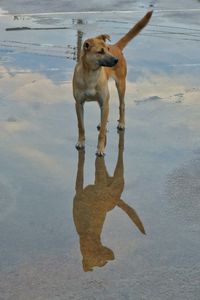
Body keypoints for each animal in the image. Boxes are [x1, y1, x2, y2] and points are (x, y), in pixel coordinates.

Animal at [73, 10, 153, 156]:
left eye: (107, 49)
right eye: (100, 51)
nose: (115, 60)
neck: (91, 74)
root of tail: (116, 46)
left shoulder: (104, 101)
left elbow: (101, 134)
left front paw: (100, 148)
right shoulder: (79, 104)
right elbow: (81, 126)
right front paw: (81, 142)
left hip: (121, 85)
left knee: (122, 105)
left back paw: (121, 123)